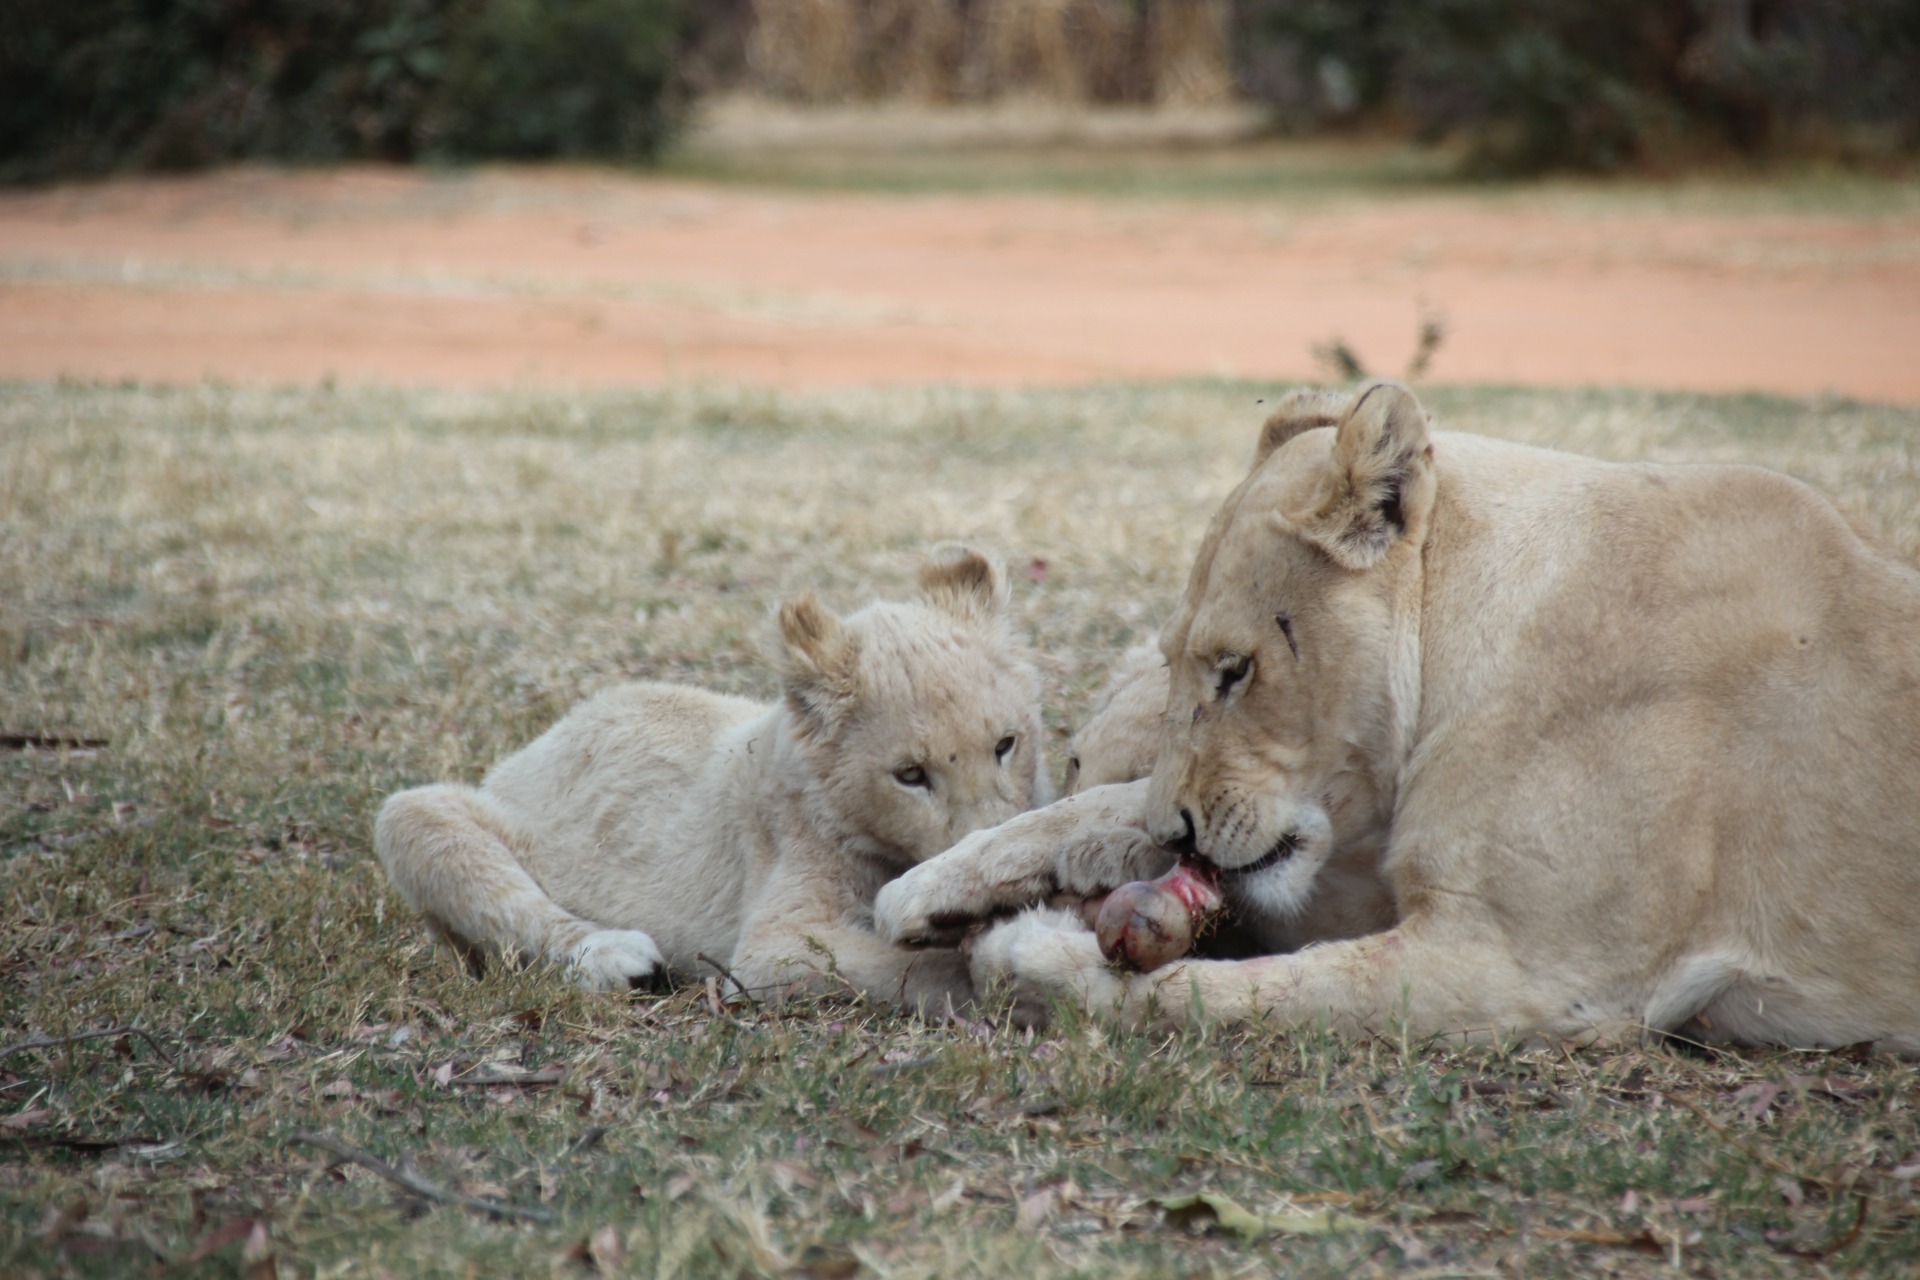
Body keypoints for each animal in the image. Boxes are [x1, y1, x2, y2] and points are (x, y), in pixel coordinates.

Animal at [375, 545, 1046, 1012]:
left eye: (1005, 745)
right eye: (910, 775)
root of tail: (532, 750)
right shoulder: (773, 942)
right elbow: (916, 967)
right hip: (416, 815)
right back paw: (619, 959)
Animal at [880, 382, 1920, 1053]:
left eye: (1235, 670)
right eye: (1173, 664)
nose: (1175, 838)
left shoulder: (1532, 971)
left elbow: (1239, 995)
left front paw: (1030, 954)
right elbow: (1094, 809)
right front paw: (931, 888)